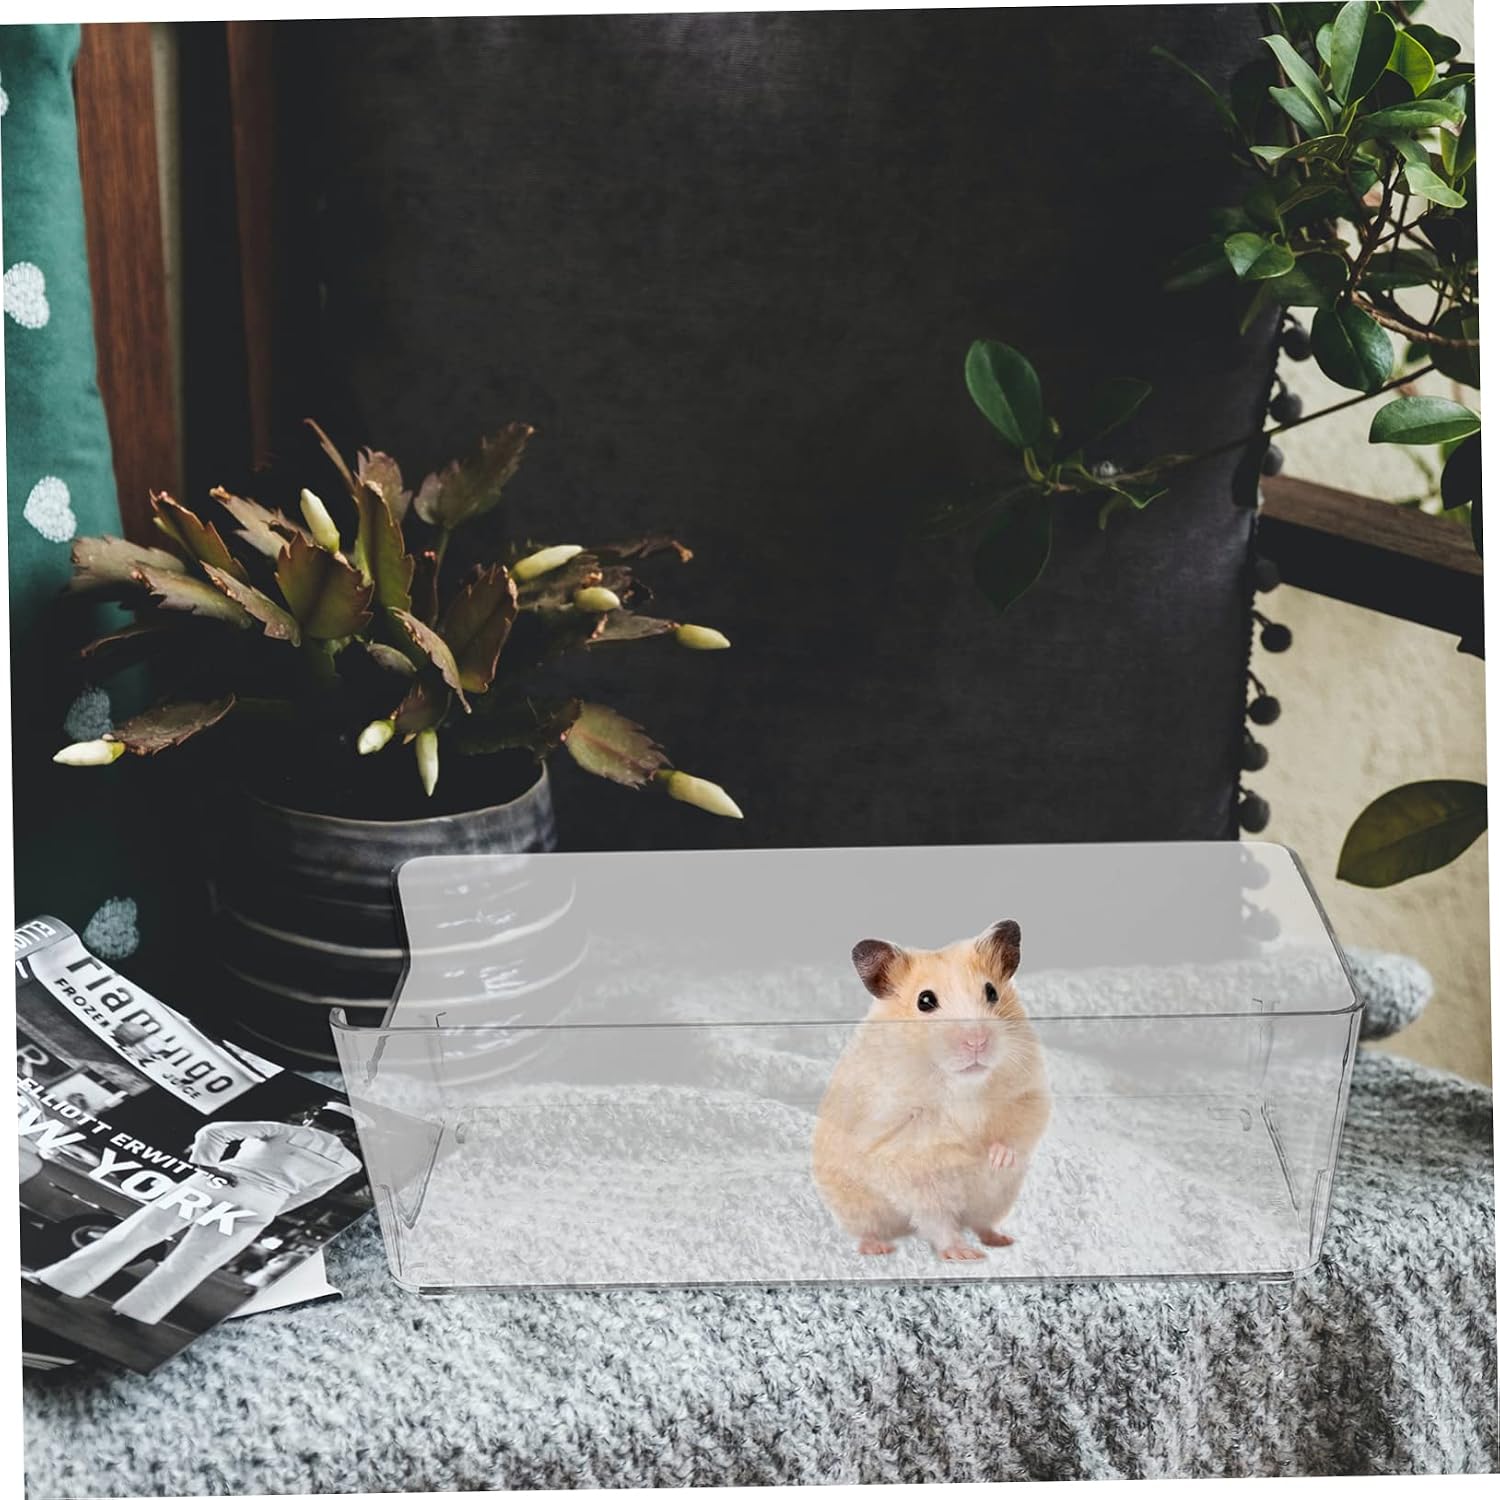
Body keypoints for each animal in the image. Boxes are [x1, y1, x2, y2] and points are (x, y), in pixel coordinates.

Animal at [811, 920, 1050, 1261]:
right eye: (925, 1001)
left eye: (992, 991)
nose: (977, 1041)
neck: (960, 1083)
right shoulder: (898, 1146)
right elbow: (933, 1173)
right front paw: (963, 1154)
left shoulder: (1029, 1093)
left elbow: (1018, 1129)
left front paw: (993, 1157)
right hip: (856, 1205)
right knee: (911, 1224)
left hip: (996, 1199)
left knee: (980, 1222)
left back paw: (999, 1239)